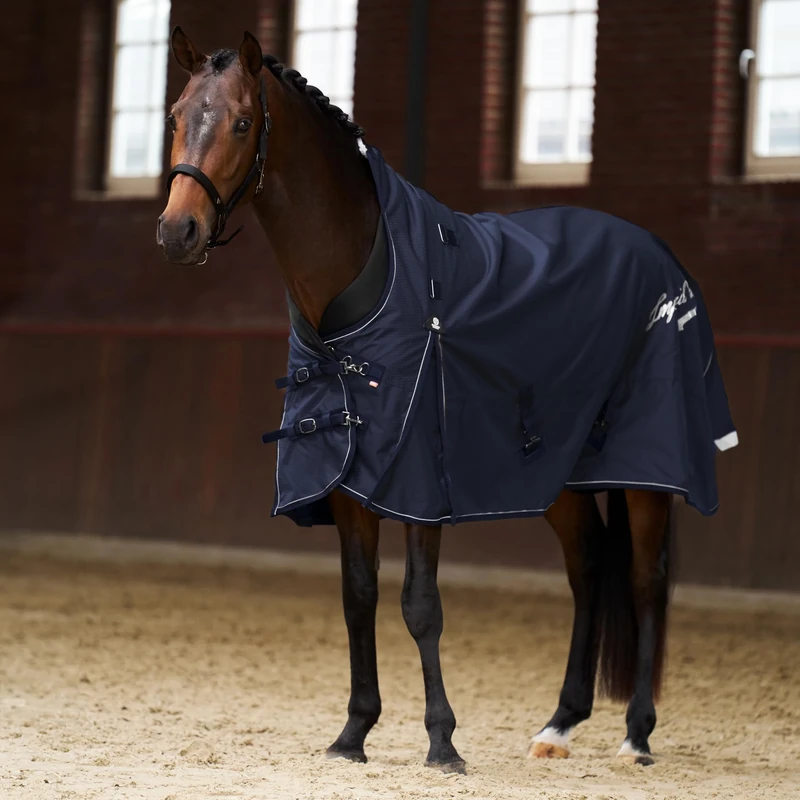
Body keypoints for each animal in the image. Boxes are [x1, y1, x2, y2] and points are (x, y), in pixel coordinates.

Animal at [157, 29, 737, 774]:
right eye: (175, 116)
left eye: (240, 122)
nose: (179, 231)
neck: (368, 277)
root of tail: (659, 254)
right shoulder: (349, 480)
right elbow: (359, 597)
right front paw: (354, 733)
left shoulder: (419, 482)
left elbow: (420, 605)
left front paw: (442, 741)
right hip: (560, 473)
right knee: (586, 570)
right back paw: (560, 724)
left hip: (646, 470)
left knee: (645, 578)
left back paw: (636, 735)